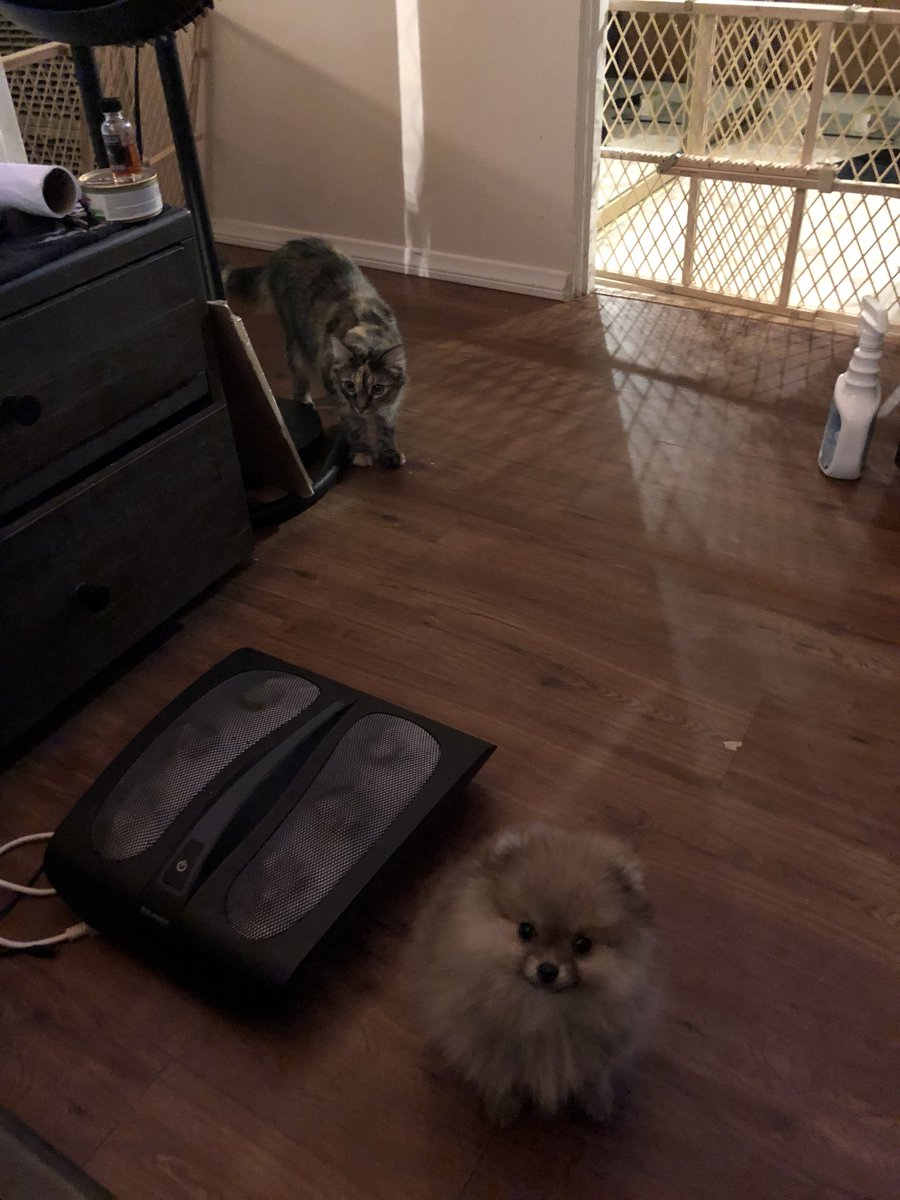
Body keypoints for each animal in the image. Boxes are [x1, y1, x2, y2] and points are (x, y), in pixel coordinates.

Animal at [223, 237, 407, 468]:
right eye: (349, 385)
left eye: (378, 388)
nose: (362, 407)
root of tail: (286, 247)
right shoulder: (343, 401)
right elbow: (356, 428)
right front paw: (362, 453)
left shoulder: (391, 404)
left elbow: (386, 428)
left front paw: (389, 453)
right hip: (296, 344)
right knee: (299, 381)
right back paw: (305, 406)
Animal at [409, 823, 659, 1125]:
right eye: (526, 930)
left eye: (582, 945)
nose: (548, 970)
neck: (542, 1010)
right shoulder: (491, 1043)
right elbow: (500, 1074)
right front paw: (502, 1105)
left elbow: (595, 1074)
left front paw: (597, 1099)